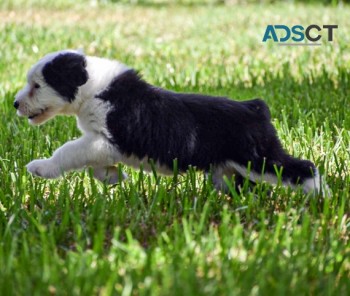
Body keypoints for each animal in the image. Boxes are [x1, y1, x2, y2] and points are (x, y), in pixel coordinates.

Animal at [13, 50, 326, 194]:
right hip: (232, 169)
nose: (15, 104)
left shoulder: (108, 140)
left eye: (37, 86)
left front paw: (41, 168)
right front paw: (114, 179)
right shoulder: (100, 144)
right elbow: (95, 165)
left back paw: (320, 197)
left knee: (303, 168)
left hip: (259, 159)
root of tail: (256, 107)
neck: (94, 88)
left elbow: (68, 150)